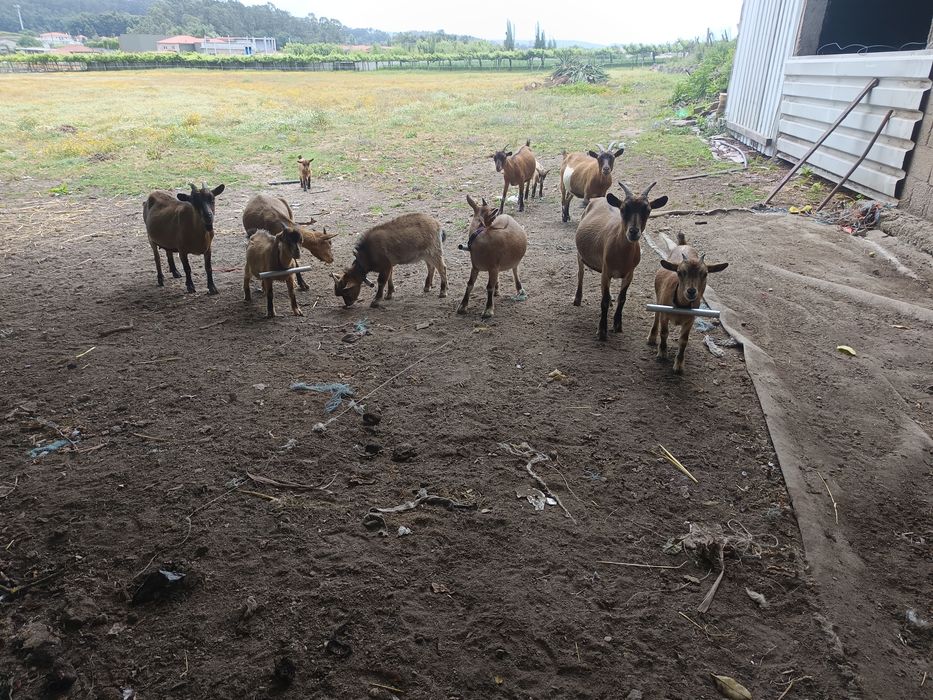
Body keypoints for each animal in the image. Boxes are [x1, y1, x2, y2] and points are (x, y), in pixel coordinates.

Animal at [574, 181, 668, 340]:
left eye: (648, 210)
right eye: (623, 209)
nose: (633, 231)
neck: (621, 256)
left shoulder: (629, 273)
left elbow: (622, 298)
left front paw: (618, 325)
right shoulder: (606, 271)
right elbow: (604, 300)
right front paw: (602, 331)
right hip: (580, 253)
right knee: (581, 273)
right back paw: (577, 299)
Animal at [649, 232, 729, 373]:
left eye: (705, 273)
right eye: (679, 272)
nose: (691, 291)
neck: (680, 306)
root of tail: (683, 244)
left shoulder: (690, 320)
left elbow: (683, 341)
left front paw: (679, 365)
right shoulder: (665, 315)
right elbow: (664, 333)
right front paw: (662, 353)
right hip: (658, 299)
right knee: (656, 316)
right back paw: (652, 338)